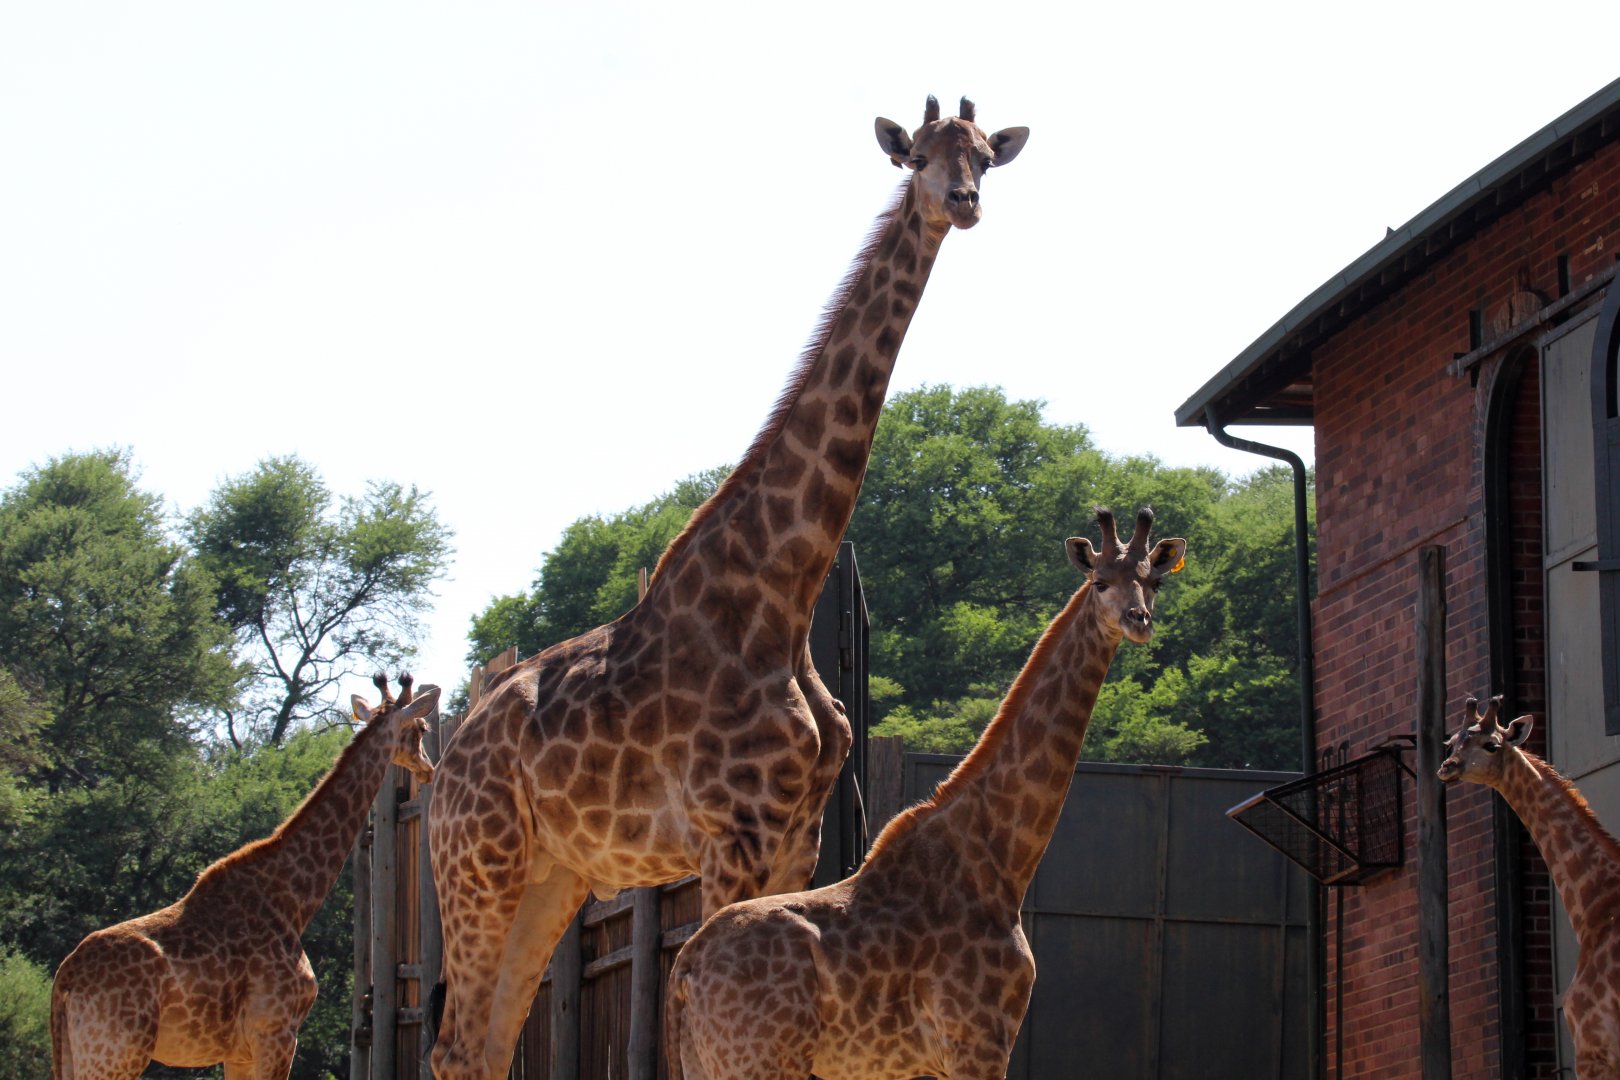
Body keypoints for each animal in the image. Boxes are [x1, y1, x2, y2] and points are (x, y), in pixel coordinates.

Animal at [50, 675, 438, 1080]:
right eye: (420, 728)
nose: (429, 768)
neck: (292, 901)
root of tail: (64, 981)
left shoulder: (238, 1052)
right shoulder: (276, 1032)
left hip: (78, 1055)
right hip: (118, 1054)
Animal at [427, 95, 1030, 1079]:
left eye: (984, 154)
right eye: (917, 157)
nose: (963, 201)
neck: (781, 595)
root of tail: (444, 760)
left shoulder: (796, 838)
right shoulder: (731, 834)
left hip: (552, 875)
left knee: (485, 1044)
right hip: (479, 863)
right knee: (454, 1045)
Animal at [665, 508, 1187, 1080]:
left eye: (1154, 582)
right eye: (1100, 582)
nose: (1139, 620)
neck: (1000, 861)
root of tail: (685, 970)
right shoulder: (979, 1041)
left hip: (707, 1063)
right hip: (761, 1062)